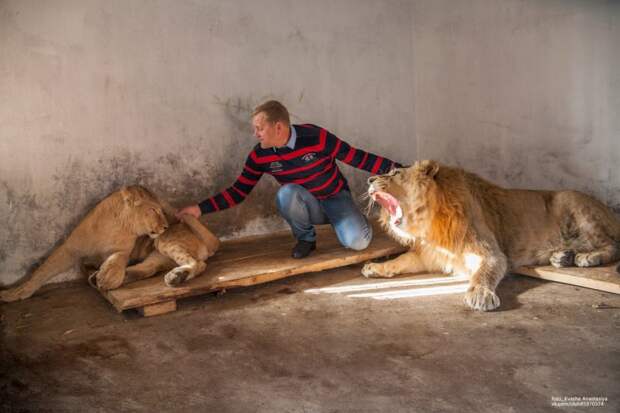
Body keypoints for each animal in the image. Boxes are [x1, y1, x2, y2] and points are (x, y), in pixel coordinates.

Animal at [0, 185, 218, 300]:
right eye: (153, 210)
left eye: (161, 210)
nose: (165, 226)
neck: (116, 225)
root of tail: (211, 239)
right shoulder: (70, 249)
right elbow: (42, 272)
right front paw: (14, 293)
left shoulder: (123, 250)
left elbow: (116, 259)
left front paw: (107, 277)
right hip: (157, 254)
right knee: (147, 269)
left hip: (165, 242)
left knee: (198, 264)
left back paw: (175, 277)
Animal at [364, 159, 620, 310]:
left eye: (395, 173)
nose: (369, 179)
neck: (429, 223)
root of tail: (609, 211)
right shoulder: (430, 254)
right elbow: (400, 260)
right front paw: (375, 267)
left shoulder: (489, 253)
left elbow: (483, 274)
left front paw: (479, 294)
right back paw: (562, 256)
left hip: (574, 204)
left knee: (612, 245)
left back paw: (588, 257)